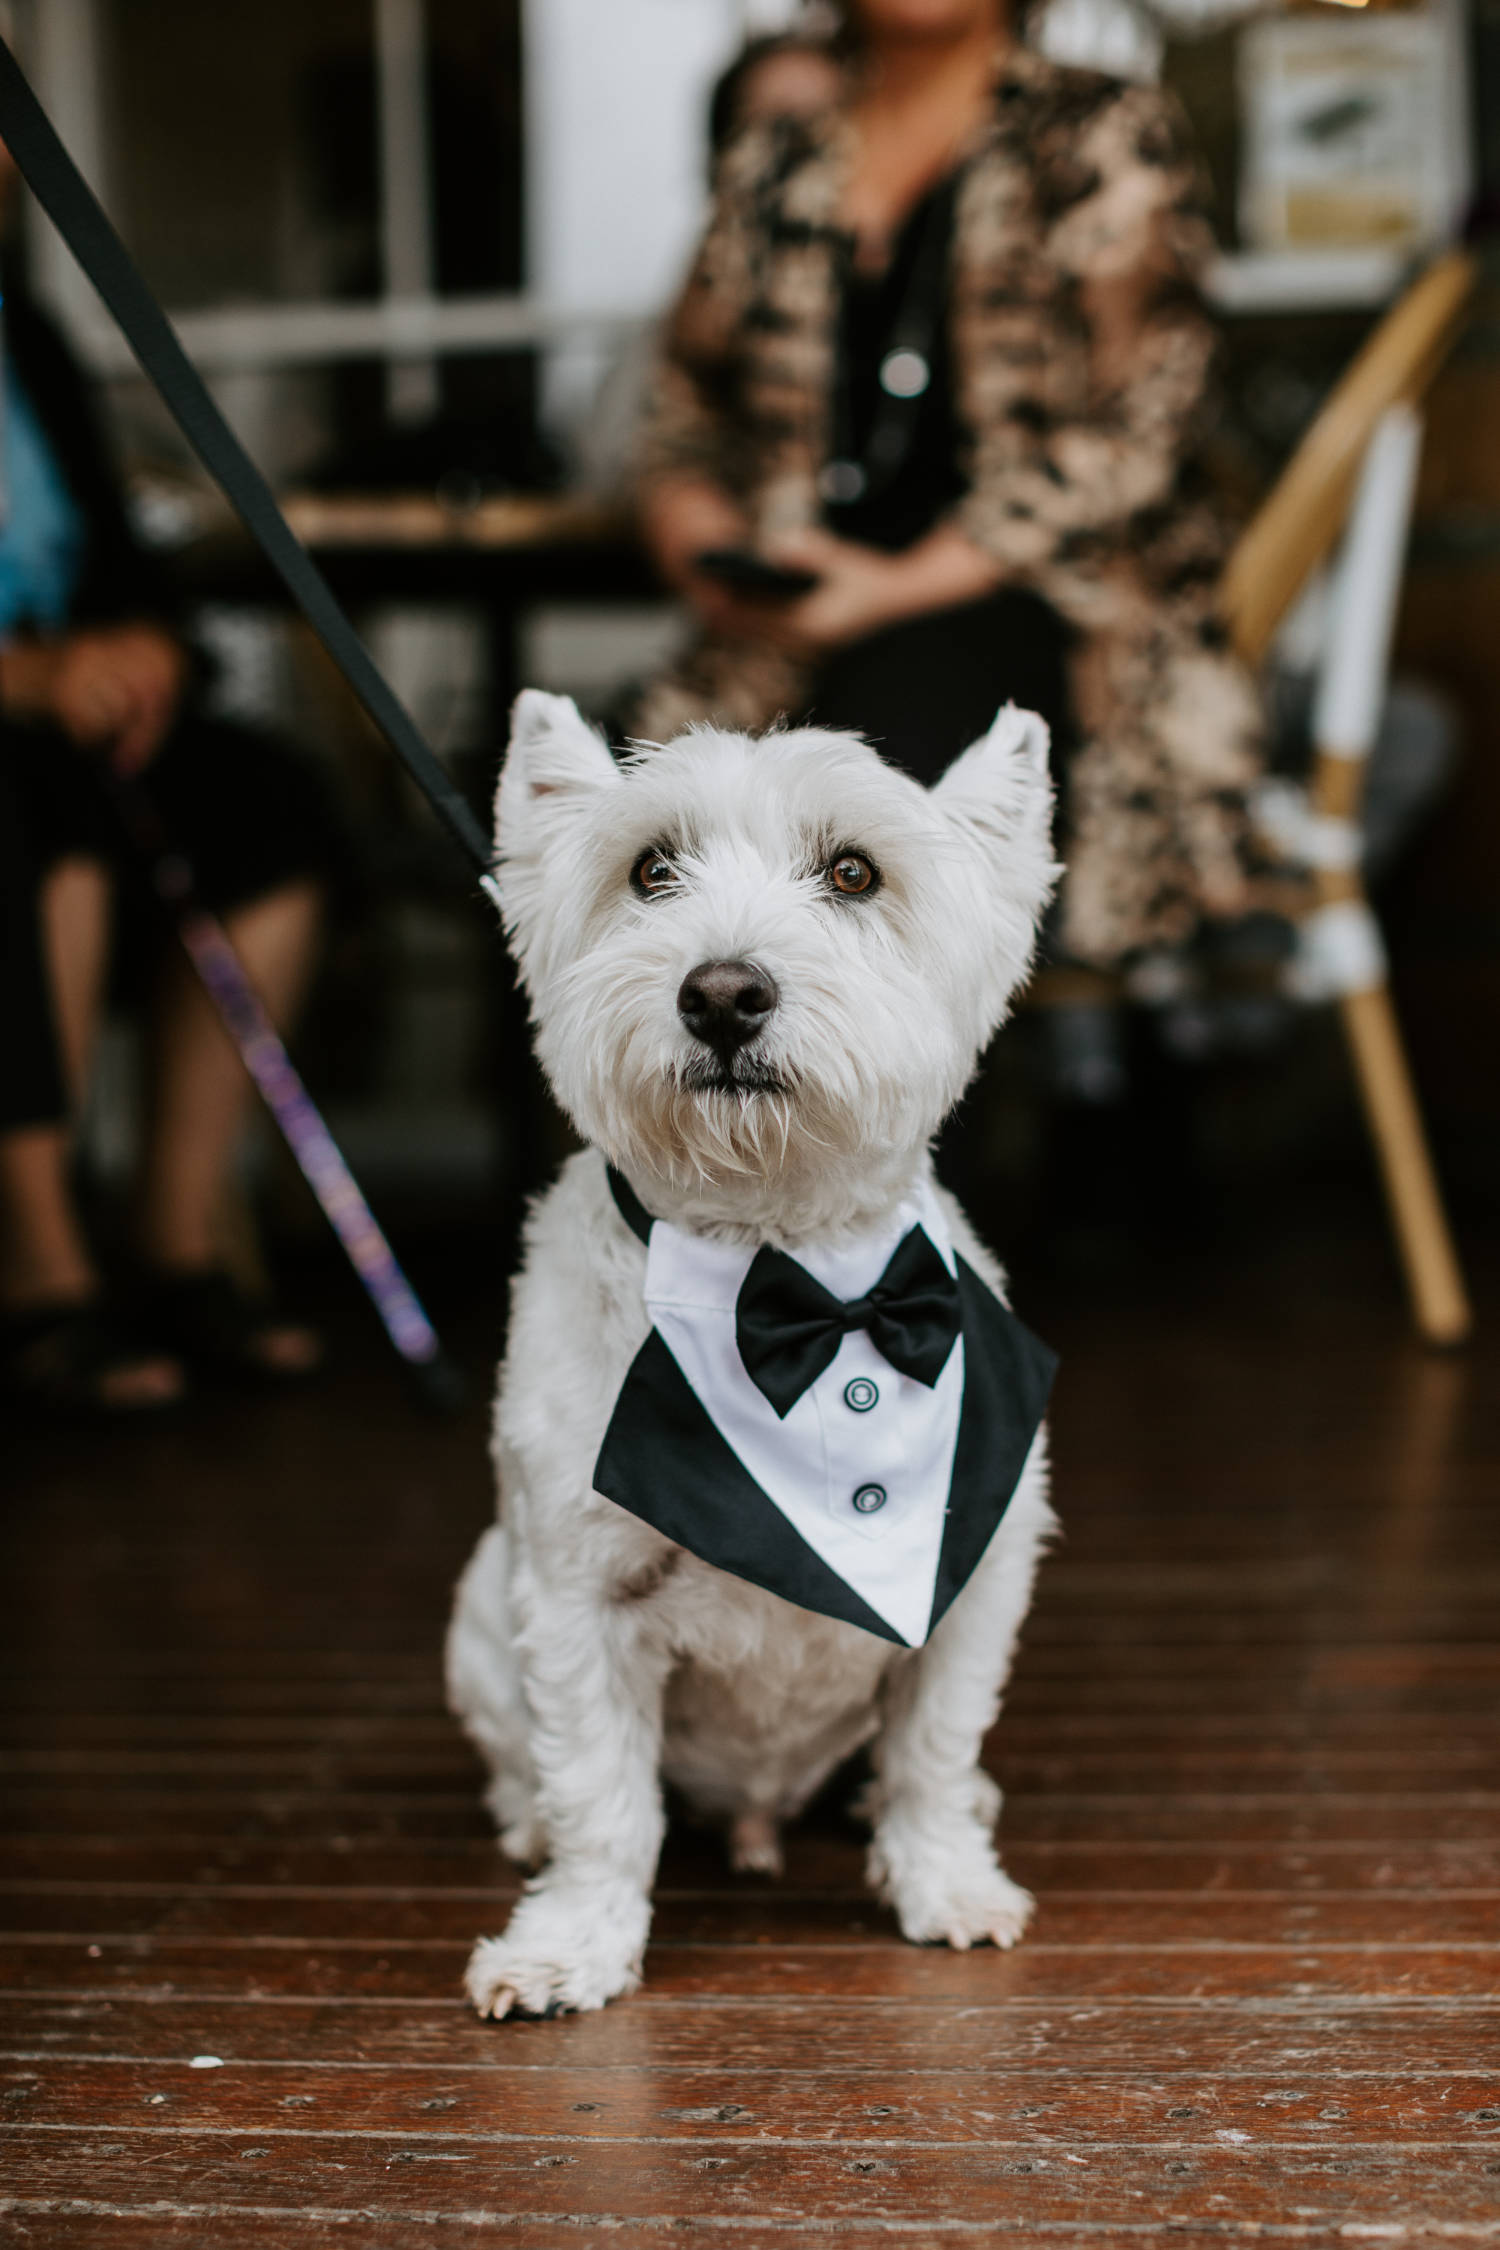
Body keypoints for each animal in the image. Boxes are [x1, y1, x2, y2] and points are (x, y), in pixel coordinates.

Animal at [452, 688, 1061, 2025]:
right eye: (650, 869)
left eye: (853, 871)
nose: (723, 994)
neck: (793, 1278)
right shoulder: (576, 1596)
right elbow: (600, 1797)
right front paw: (567, 1947)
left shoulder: (976, 1575)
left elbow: (935, 1750)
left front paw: (948, 1886)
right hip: (480, 1613)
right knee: (527, 1769)